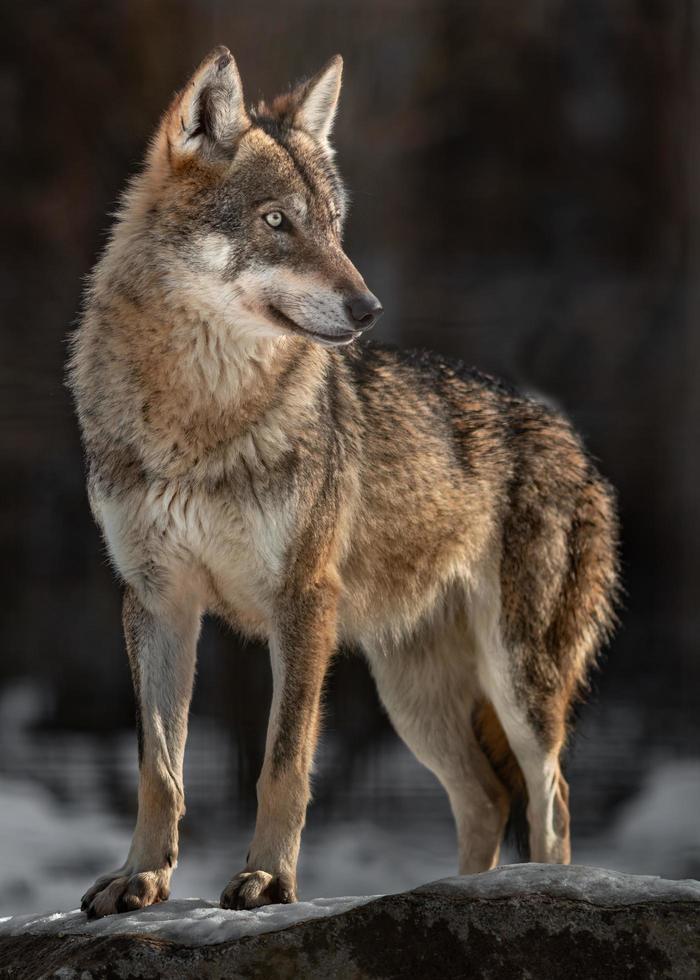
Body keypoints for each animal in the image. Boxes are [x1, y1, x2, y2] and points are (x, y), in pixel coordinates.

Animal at [69, 47, 616, 920]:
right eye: (276, 222)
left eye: (332, 224)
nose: (367, 308)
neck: (199, 416)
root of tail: (574, 441)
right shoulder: (158, 602)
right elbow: (162, 769)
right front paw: (141, 880)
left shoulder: (303, 602)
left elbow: (282, 762)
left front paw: (269, 881)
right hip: (412, 695)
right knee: (488, 800)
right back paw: (462, 900)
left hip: (518, 682)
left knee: (551, 796)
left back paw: (539, 892)